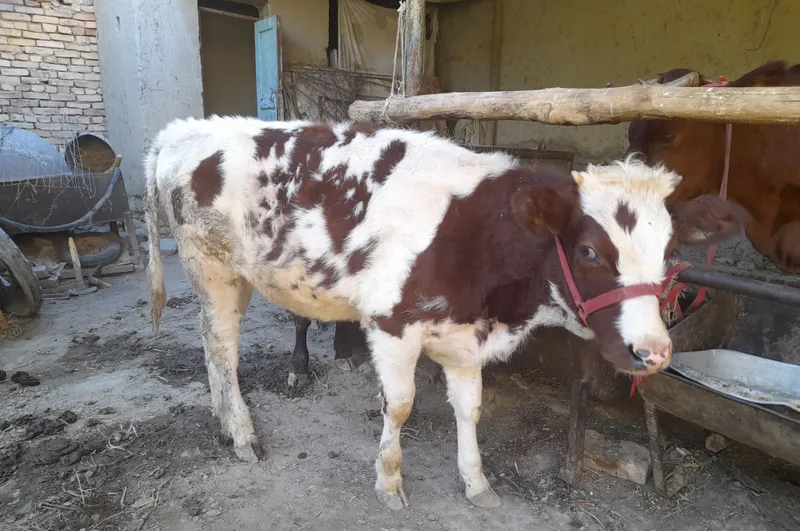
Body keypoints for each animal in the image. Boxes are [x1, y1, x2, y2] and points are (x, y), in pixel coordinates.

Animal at [144, 116, 746, 510]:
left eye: (671, 251)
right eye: (589, 251)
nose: (654, 351)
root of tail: (183, 129)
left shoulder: (464, 338)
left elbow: (471, 409)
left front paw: (476, 483)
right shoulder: (390, 324)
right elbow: (401, 406)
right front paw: (389, 483)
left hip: (237, 277)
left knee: (211, 345)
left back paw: (224, 420)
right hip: (211, 268)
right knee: (222, 346)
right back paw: (242, 433)